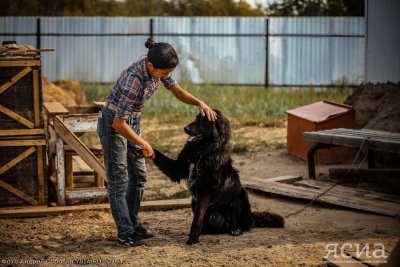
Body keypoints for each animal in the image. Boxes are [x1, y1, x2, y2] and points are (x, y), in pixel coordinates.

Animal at [134, 109, 284, 245]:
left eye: (203, 121)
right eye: (196, 118)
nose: (185, 128)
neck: (201, 153)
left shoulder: (204, 190)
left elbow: (197, 218)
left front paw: (193, 239)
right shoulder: (177, 169)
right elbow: (157, 154)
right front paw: (142, 150)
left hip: (241, 196)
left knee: (239, 223)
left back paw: (235, 229)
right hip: (193, 201)